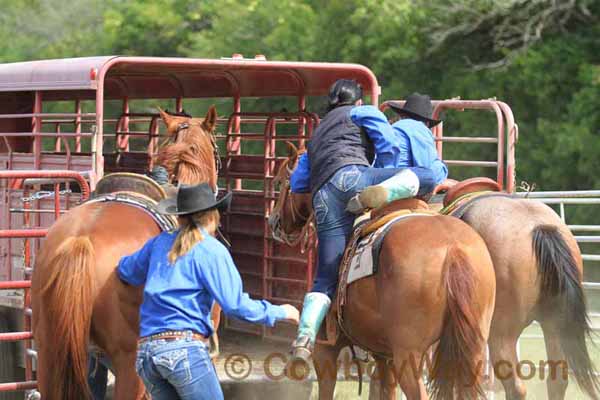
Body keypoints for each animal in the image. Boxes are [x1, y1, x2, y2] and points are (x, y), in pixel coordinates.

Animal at [270, 145, 496, 400]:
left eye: (281, 181)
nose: (274, 221)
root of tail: (454, 250)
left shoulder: (325, 351)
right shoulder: (383, 356)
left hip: (408, 354)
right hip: (471, 349)